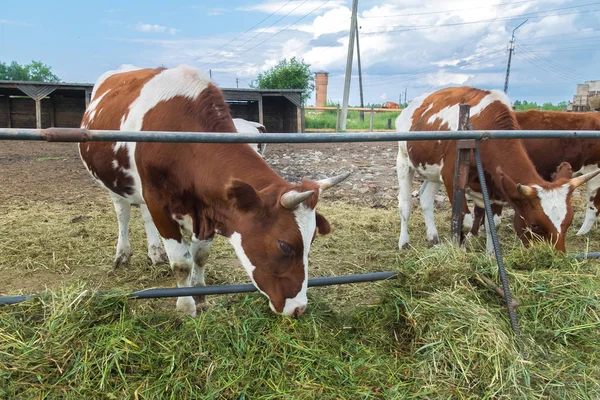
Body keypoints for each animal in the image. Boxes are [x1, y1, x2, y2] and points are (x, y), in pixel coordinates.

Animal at [81, 65, 352, 316]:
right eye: (285, 245)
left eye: (312, 239)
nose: (299, 308)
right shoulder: (159, 201)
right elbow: (181, 263)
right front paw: (185, 308)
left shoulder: (210, 206)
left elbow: (200, 255)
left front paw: (201, 296)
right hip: (112, 180)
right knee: (123, 214)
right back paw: (122, 254)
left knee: (144, 214)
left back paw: (155, 253)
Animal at [396, 87, 596, 253]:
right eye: (534, 224)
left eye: (568, 221)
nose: (557, 257)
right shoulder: (451, 178)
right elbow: (464, 221)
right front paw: (461, 252)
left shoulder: (497, 188)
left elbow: (494, 223)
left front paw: (491, 256)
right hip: (404, 161)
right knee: (405, 205)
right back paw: (404, 242)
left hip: (432, 172)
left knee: (425, 198)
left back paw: (433, 237)